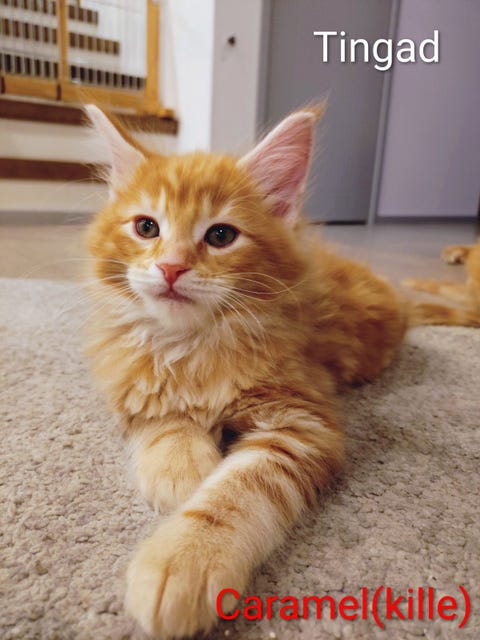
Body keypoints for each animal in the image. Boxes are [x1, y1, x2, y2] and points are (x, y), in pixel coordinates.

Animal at [84, 103, 478, 639]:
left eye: (221, 236)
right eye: (147, 228)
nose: (170, 268)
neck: (193, 344)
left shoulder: (301, 420)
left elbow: (237, 493)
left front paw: (183, 559)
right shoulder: (129, 378)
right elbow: (163, 416)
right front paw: (181, 468)